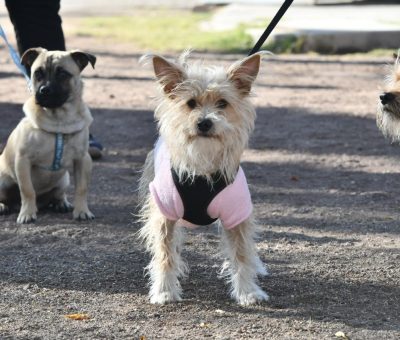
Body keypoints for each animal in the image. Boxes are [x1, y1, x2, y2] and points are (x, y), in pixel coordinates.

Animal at [0, 47, 95, 223]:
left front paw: (82, 211)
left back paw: (62, 203)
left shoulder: (83, 160)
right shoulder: (23, 161)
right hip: (3, 181)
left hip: (64, 180)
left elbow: (81, 189)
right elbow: (28, 190)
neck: (59, 120)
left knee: (58, 194)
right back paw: (3, 206)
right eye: (37, 73)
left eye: (63, 74)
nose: (44, 90)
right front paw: (27, 214)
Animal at [138, 52, 268, 306]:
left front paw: (248, 291)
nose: (205, 122)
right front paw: (164, 290)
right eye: (190, 103)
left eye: (223, 103)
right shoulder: (165, 214)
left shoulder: (237, 214)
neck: (203, 164)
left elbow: (242, 254)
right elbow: (165, 254)